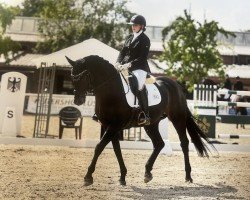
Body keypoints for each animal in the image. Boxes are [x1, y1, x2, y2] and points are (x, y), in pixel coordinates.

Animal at [65, 54, 212, 186]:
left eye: (83, 76)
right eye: (71, 77)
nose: (78, 101)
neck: (111, 92)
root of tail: (176, 85)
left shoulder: (114, 126)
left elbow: (99, 147)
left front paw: (88, 176)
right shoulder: (110, 126)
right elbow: (116, 149)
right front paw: (122, 177)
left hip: (178, 118)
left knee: (184, 143)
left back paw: (188, 176)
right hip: (151, 124)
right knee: (159, 144)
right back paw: (147, 173)